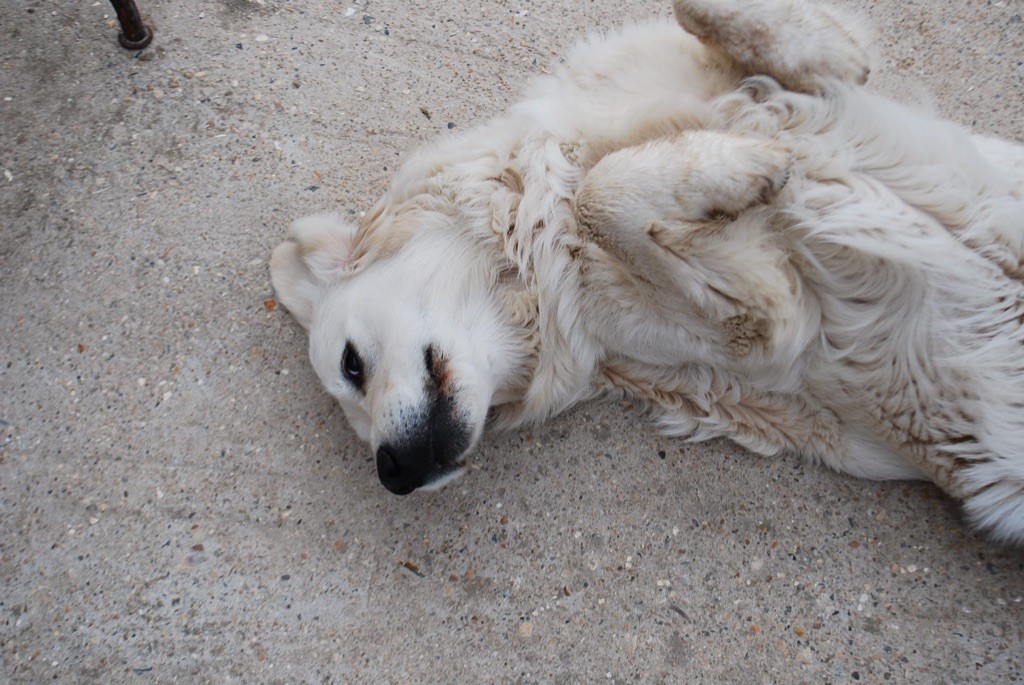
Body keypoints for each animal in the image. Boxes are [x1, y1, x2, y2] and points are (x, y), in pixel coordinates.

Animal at [272, 0, 1024, 540]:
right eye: (352, 386)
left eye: (350, 365)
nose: (393, 473)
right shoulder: (772, 322)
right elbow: (607, 195)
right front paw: (735, 169)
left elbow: (713, 19)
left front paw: (770, 127)